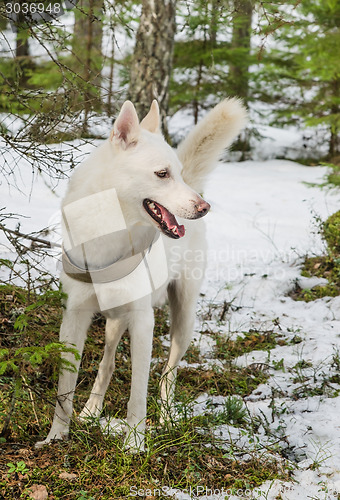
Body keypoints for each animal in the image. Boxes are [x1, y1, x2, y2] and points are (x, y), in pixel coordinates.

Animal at [35, 97, 246, 450]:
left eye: (178, 173)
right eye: (162, 174)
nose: (204, 208)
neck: (110, 230)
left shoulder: (143, 322)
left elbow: (138, 392)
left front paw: (134, 444)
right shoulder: (74, 318)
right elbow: (65, 388)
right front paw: (56, 438)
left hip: (183, 318)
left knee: (168, 374)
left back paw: (168, 419)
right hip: (114, 321)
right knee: (107, 363)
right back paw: (91, 411)